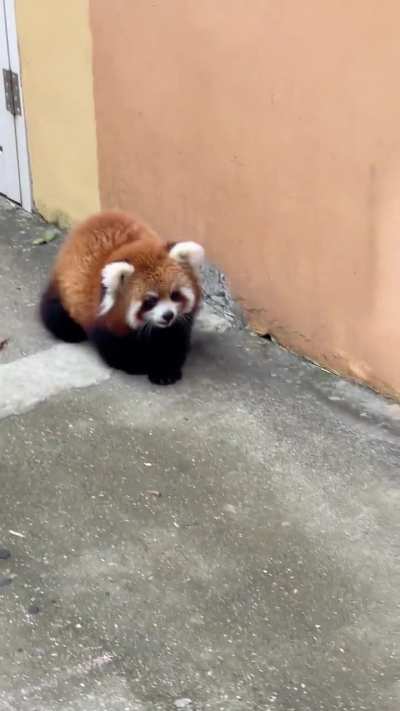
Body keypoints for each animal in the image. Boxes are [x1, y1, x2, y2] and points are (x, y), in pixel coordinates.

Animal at [40, 210, 205, 385]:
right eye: (150, 301)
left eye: (174, 295)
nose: (168, 315)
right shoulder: (103, 319)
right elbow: (116, 348)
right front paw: (138, 365)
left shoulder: (178, 324)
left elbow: (174, 341)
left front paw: (165, 371)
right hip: (66, 284)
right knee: (54, 311)